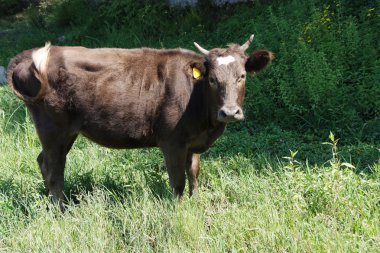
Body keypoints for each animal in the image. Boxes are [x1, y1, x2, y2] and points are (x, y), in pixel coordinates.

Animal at [6, 34, 274, 203]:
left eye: (242, 76)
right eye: (212, 79)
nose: (229, 112)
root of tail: (37, 52)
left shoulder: (192, 141)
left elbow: (194, 173)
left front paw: (196, 202)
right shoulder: (171, 141)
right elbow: (177, 181)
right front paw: (179, 209)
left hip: (64, 132)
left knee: (43, 162)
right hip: (54, 128)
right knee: (53, 169)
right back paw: (60, 210)